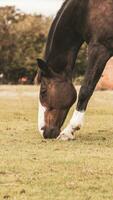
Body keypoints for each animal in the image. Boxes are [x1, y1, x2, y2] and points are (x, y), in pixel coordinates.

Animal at [36, 0, 113, 140]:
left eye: (43, 91)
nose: (42, 130)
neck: (85, 9)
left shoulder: (99, 48)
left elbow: (85, 90)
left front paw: (69, 130)